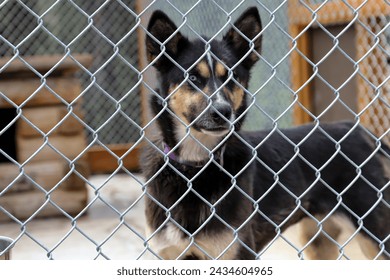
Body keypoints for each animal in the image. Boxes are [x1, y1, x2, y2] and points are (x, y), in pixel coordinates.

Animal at [142, 7, 388, 260]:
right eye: (192, 77)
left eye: (232, 77)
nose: (222, 112)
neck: (195, 167)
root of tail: (357, 129)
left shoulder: (238, 252)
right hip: (318, 241)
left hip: (372, 235)